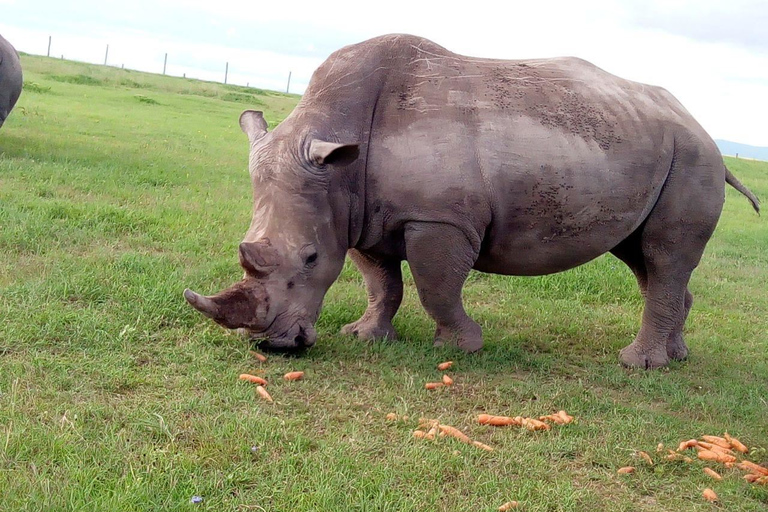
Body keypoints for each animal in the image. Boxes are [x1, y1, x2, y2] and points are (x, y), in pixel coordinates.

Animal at [183, 34, 760, 368]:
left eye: (309, 258)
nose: (273, 346)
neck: (339, 153)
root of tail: (701, 128)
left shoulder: (439, 218)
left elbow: (436, 286)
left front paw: (460, 348)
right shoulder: (359, 214)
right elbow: (381, 282)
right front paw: (367, 337)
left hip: (693, 158)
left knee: (662, 255)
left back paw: (638, 365)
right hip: (655, 149)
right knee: (643, 258)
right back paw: (677, 357)